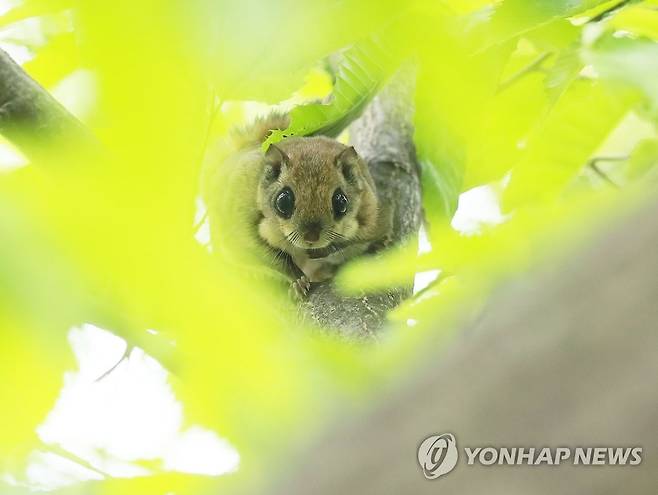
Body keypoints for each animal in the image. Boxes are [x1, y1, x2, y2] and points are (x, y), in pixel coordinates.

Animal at [202, 113, 390, 298]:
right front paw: (297, 279)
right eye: (283, 201)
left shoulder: (372, 215)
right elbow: (267, 254)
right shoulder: (239, 219)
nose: (311, 237)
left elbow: (362, 235)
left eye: (341, 201)